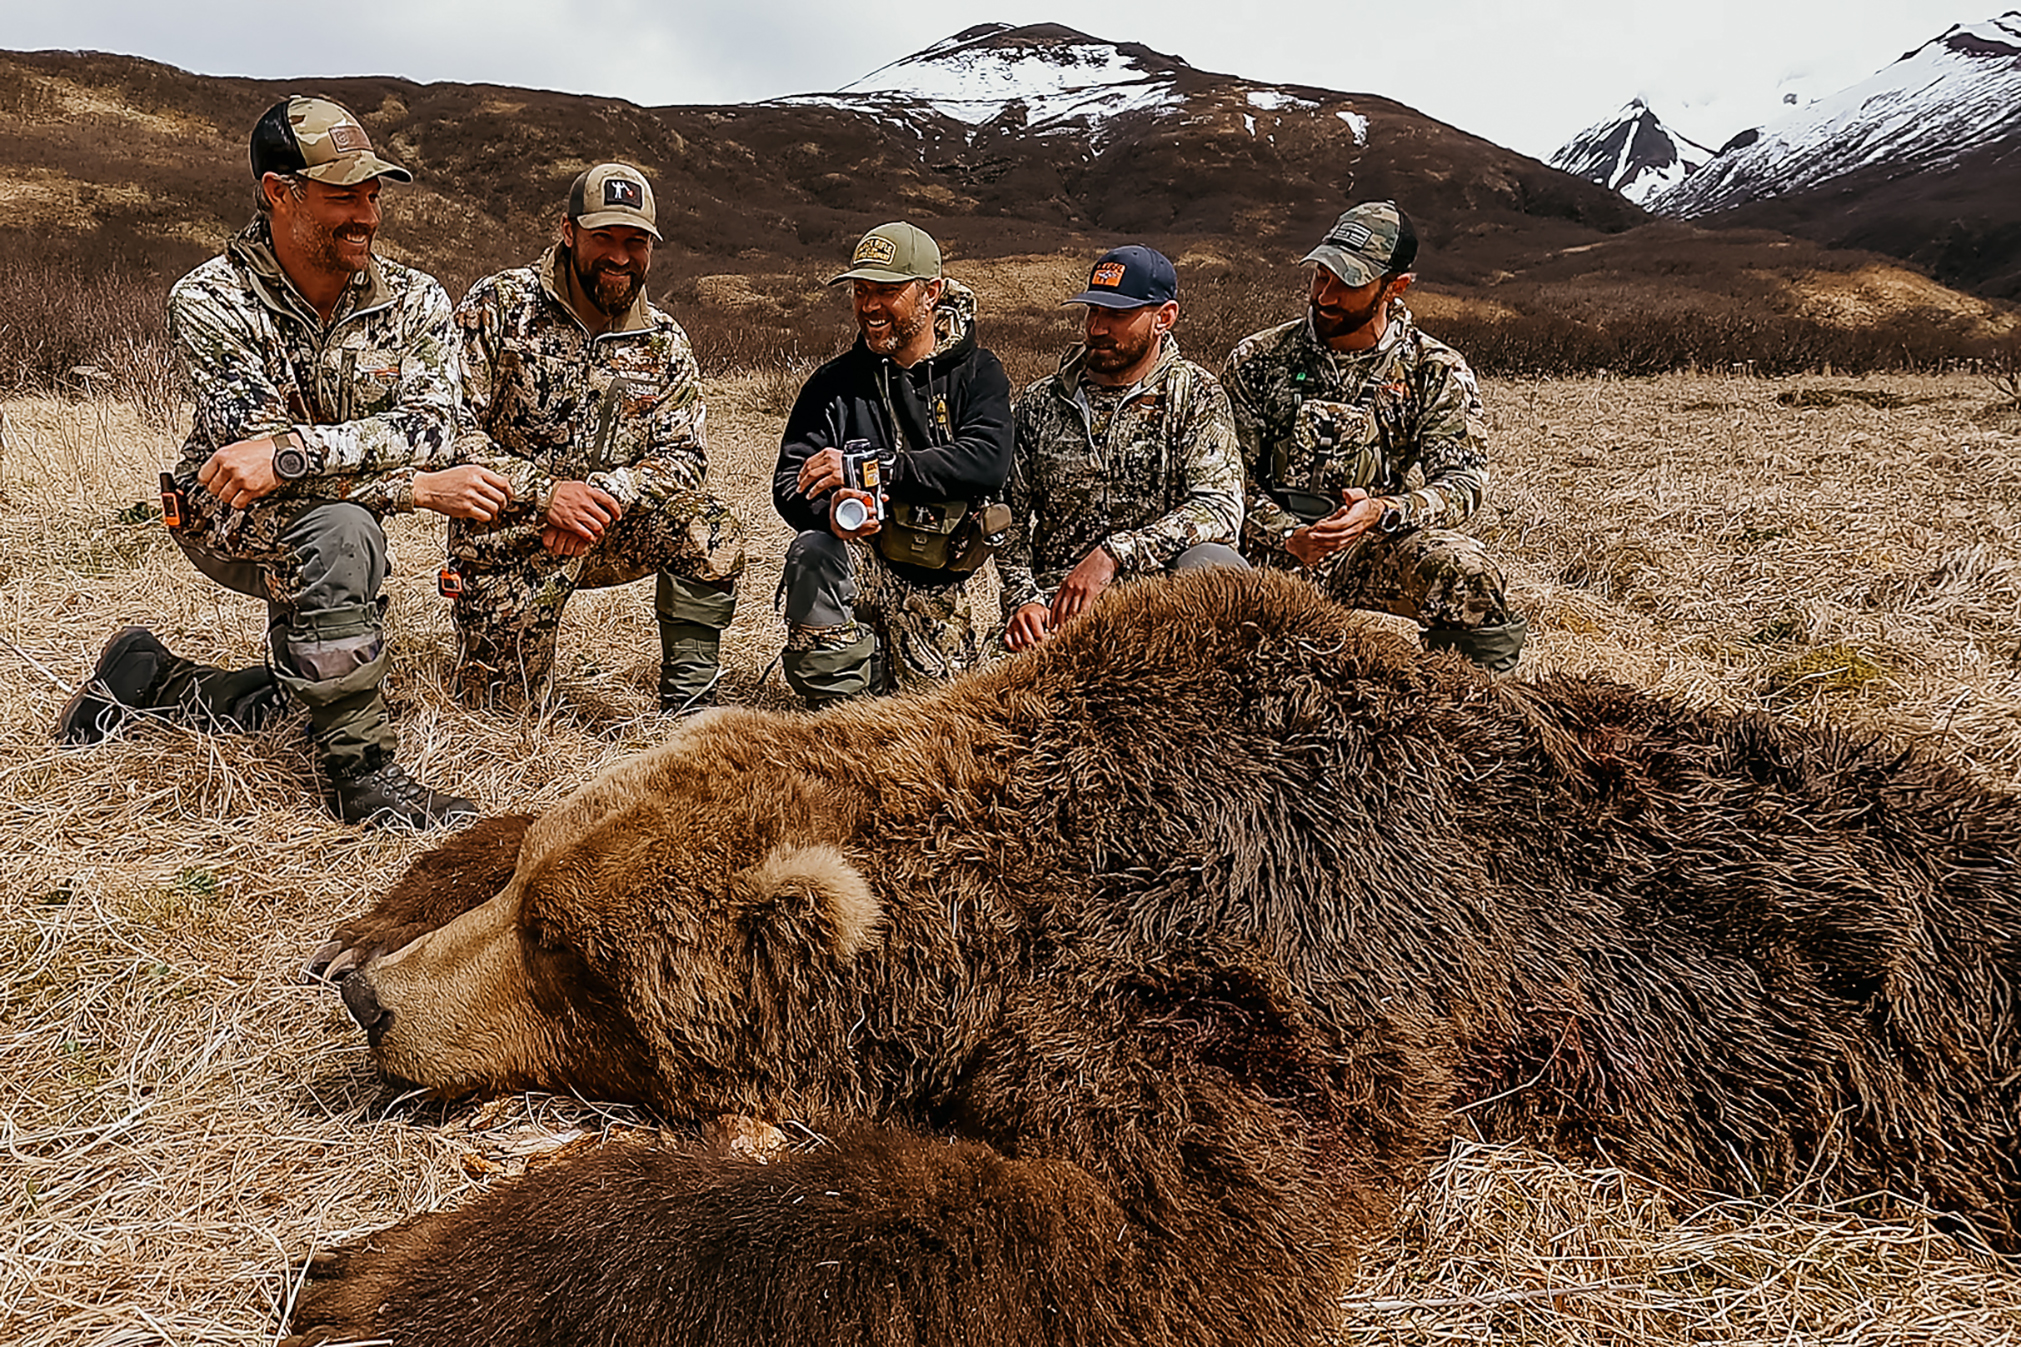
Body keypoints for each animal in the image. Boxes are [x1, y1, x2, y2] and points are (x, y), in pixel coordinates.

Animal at [284, 569, 2020, 1347]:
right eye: (537, 906)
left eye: (574, 967)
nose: (378, 1006)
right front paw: (383, 899)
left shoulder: (1265, 960)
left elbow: (1137, 1224)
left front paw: (391, 1270)